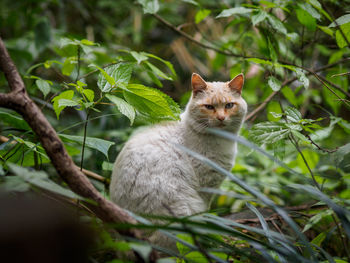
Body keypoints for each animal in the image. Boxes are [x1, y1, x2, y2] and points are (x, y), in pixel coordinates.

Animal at [109, 73, 246, 251]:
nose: (221, 118)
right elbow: (206, 211)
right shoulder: (206, 186)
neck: (222, 141)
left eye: (229, 105)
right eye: (209, 107)